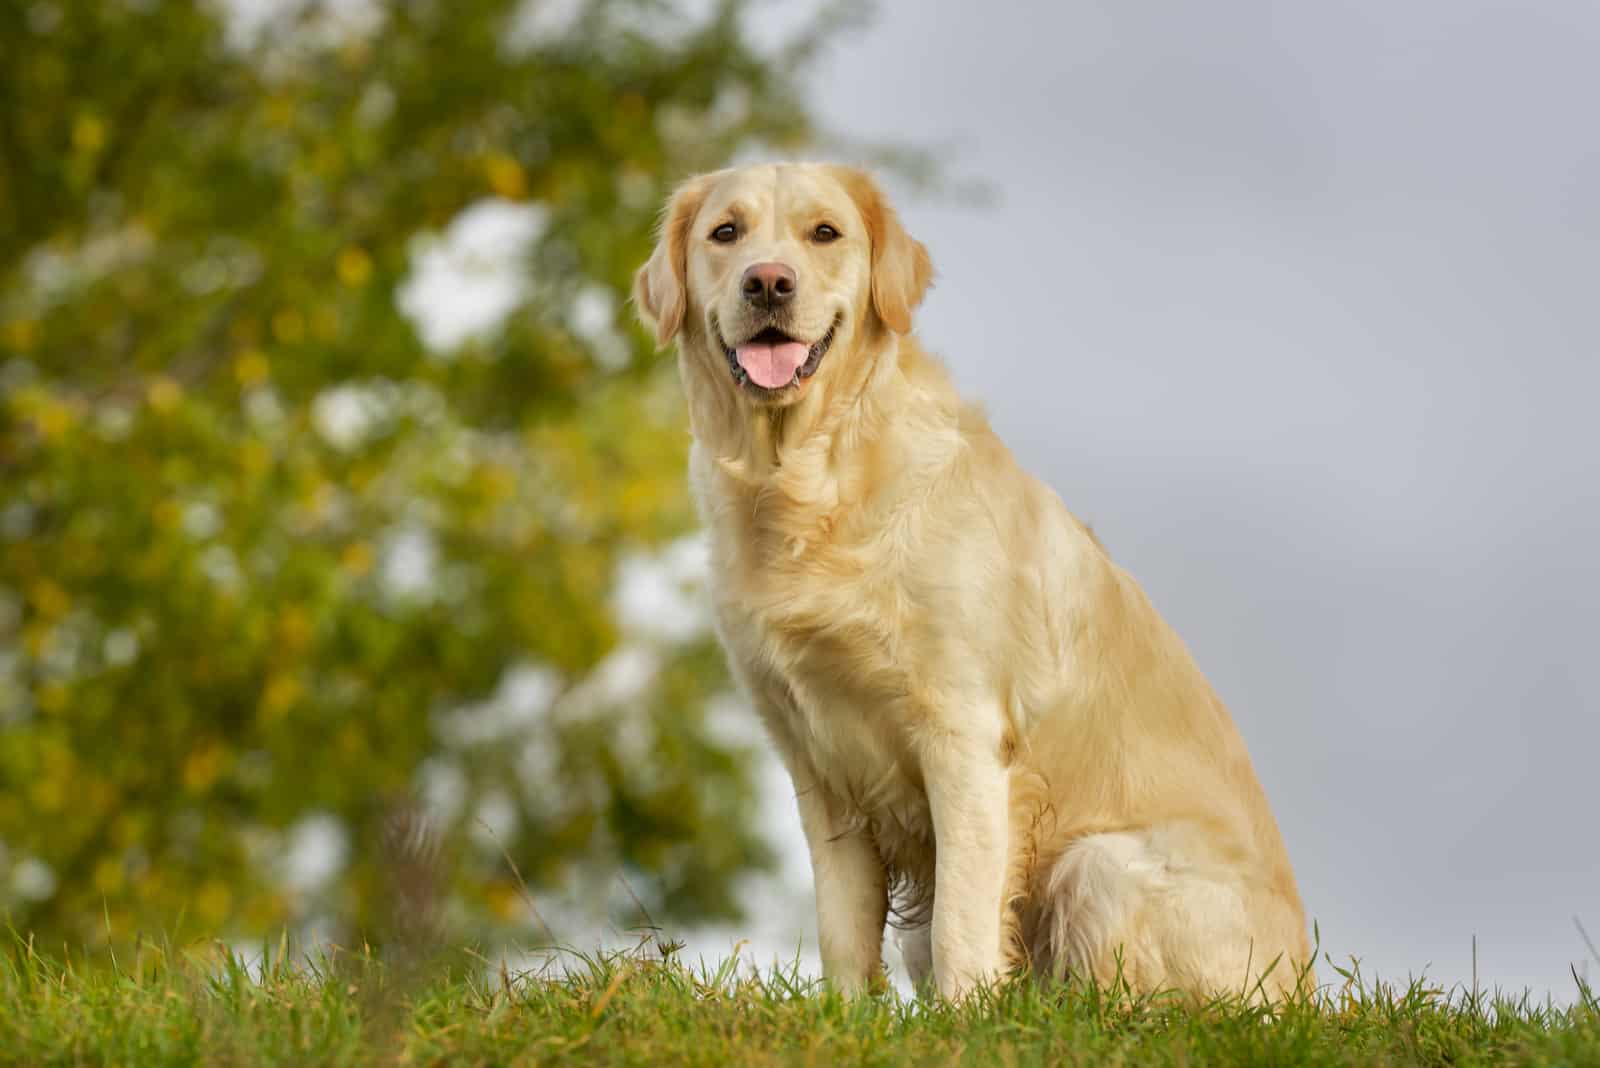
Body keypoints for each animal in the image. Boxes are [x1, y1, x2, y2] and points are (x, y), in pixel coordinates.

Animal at [633, 160, 1312, 1004]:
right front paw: (848, 1016)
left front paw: (966, 1017)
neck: (811, 483)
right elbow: (843, 929)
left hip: (1099, 866)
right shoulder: (817, 763)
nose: (767, 283)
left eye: (825, 233)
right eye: (726, 233)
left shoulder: (964, 734)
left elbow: (962, 920)